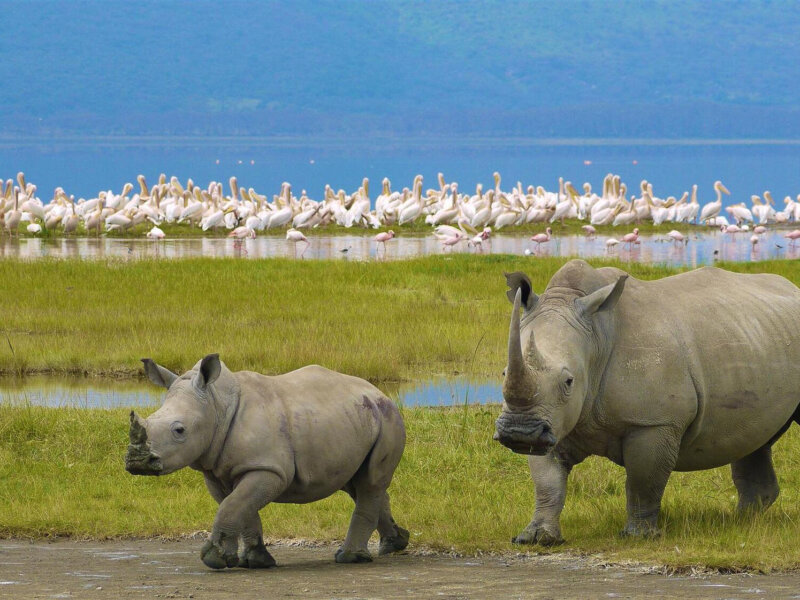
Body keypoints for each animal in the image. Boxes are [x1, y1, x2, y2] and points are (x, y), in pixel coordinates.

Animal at [125, 354, 408, 569]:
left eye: (179, 430)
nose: (137, 462)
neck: (216, 405)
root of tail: (379, 392)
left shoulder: (268, 468)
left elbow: (232, 506)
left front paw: (214, 560)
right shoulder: (217, 471)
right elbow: (240, 507)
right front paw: (253, 561)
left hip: (387, 419)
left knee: (370, 482)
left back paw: (349, 558)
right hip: (356, 419)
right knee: (357, 484)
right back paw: (394, 543)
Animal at [494, 259, 800, 544]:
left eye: (569, 381)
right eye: (504, 373)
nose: (519, 432)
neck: (596, 337)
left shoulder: (653, 423)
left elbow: (643, 482)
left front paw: (638, 536)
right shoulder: (553, 420)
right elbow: (547, 482)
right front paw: (536, 538)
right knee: (756, 438)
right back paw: (741, 522)